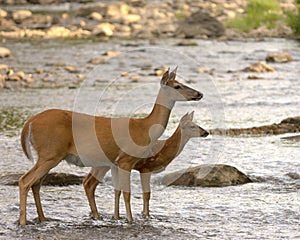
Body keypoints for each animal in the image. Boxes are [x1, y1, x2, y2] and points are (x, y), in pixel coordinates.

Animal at [19, 67, 204, 225]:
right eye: (177, 86)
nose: (200, 93)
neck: (144, 128)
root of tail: (29, 123)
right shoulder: (126, 160)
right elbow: (127, 193)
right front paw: (130, 220)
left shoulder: (115, 163)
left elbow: (117, 191)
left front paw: (117, 218)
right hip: (50, 153)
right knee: (25, 180)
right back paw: (23, 221)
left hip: (50, 156)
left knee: (36, 184)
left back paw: (43, 219)